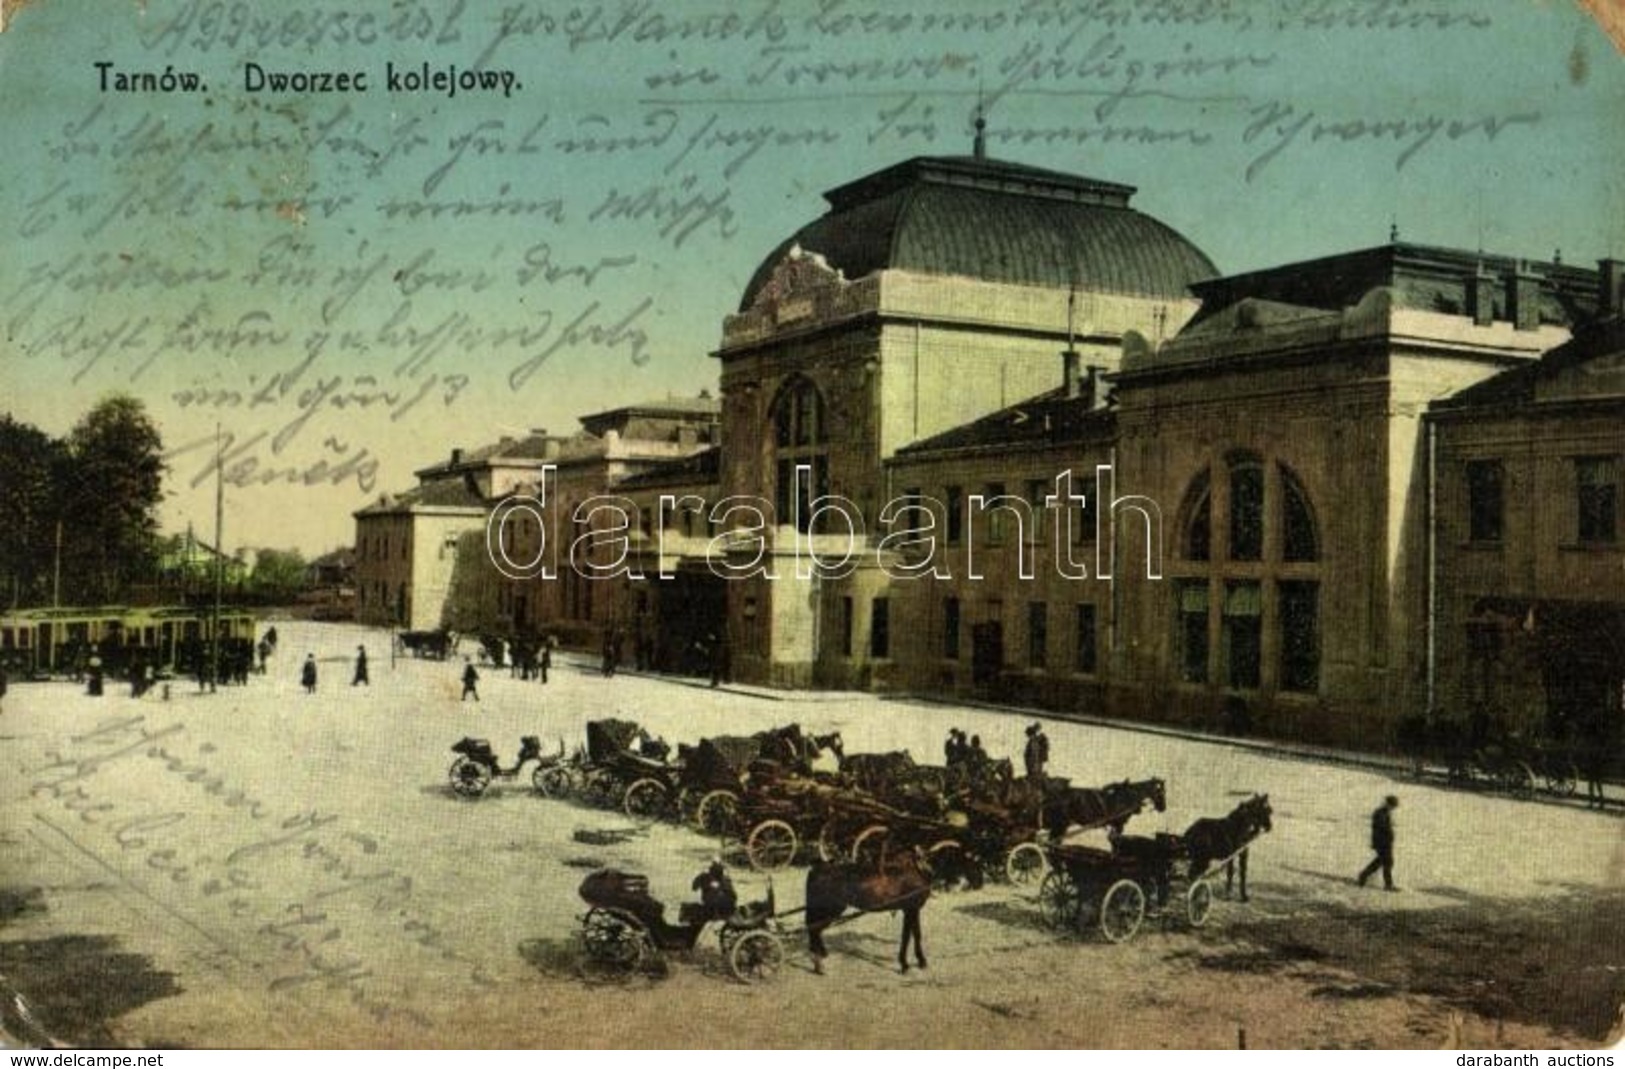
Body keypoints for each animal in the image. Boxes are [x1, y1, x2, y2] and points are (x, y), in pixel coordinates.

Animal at [806, 844, 936, 968]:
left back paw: (821, 955)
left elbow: (917, 934)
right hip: (830, 908)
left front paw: (921, 961)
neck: (916, 870)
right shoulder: (910, 909)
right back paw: (818, 964)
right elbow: (907, 936)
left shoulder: (914, 909)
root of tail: (815, 870)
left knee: (813, 928)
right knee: (814, 928)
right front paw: (904, 964)